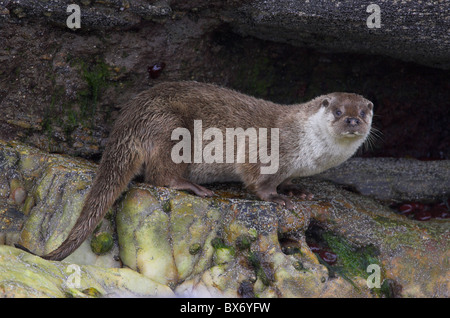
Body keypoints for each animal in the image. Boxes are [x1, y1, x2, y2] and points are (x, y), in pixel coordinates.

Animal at [14, 82, 372, 260]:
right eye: (338, 111)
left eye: (364, 113)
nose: (353, 121)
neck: (306, 145)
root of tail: (129, 118)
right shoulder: (266, 148)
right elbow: (256, 179)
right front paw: (276, 198)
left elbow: (285, 181)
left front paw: (295, 191)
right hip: (172, 127)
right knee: (158, 176)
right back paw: (191, 187)